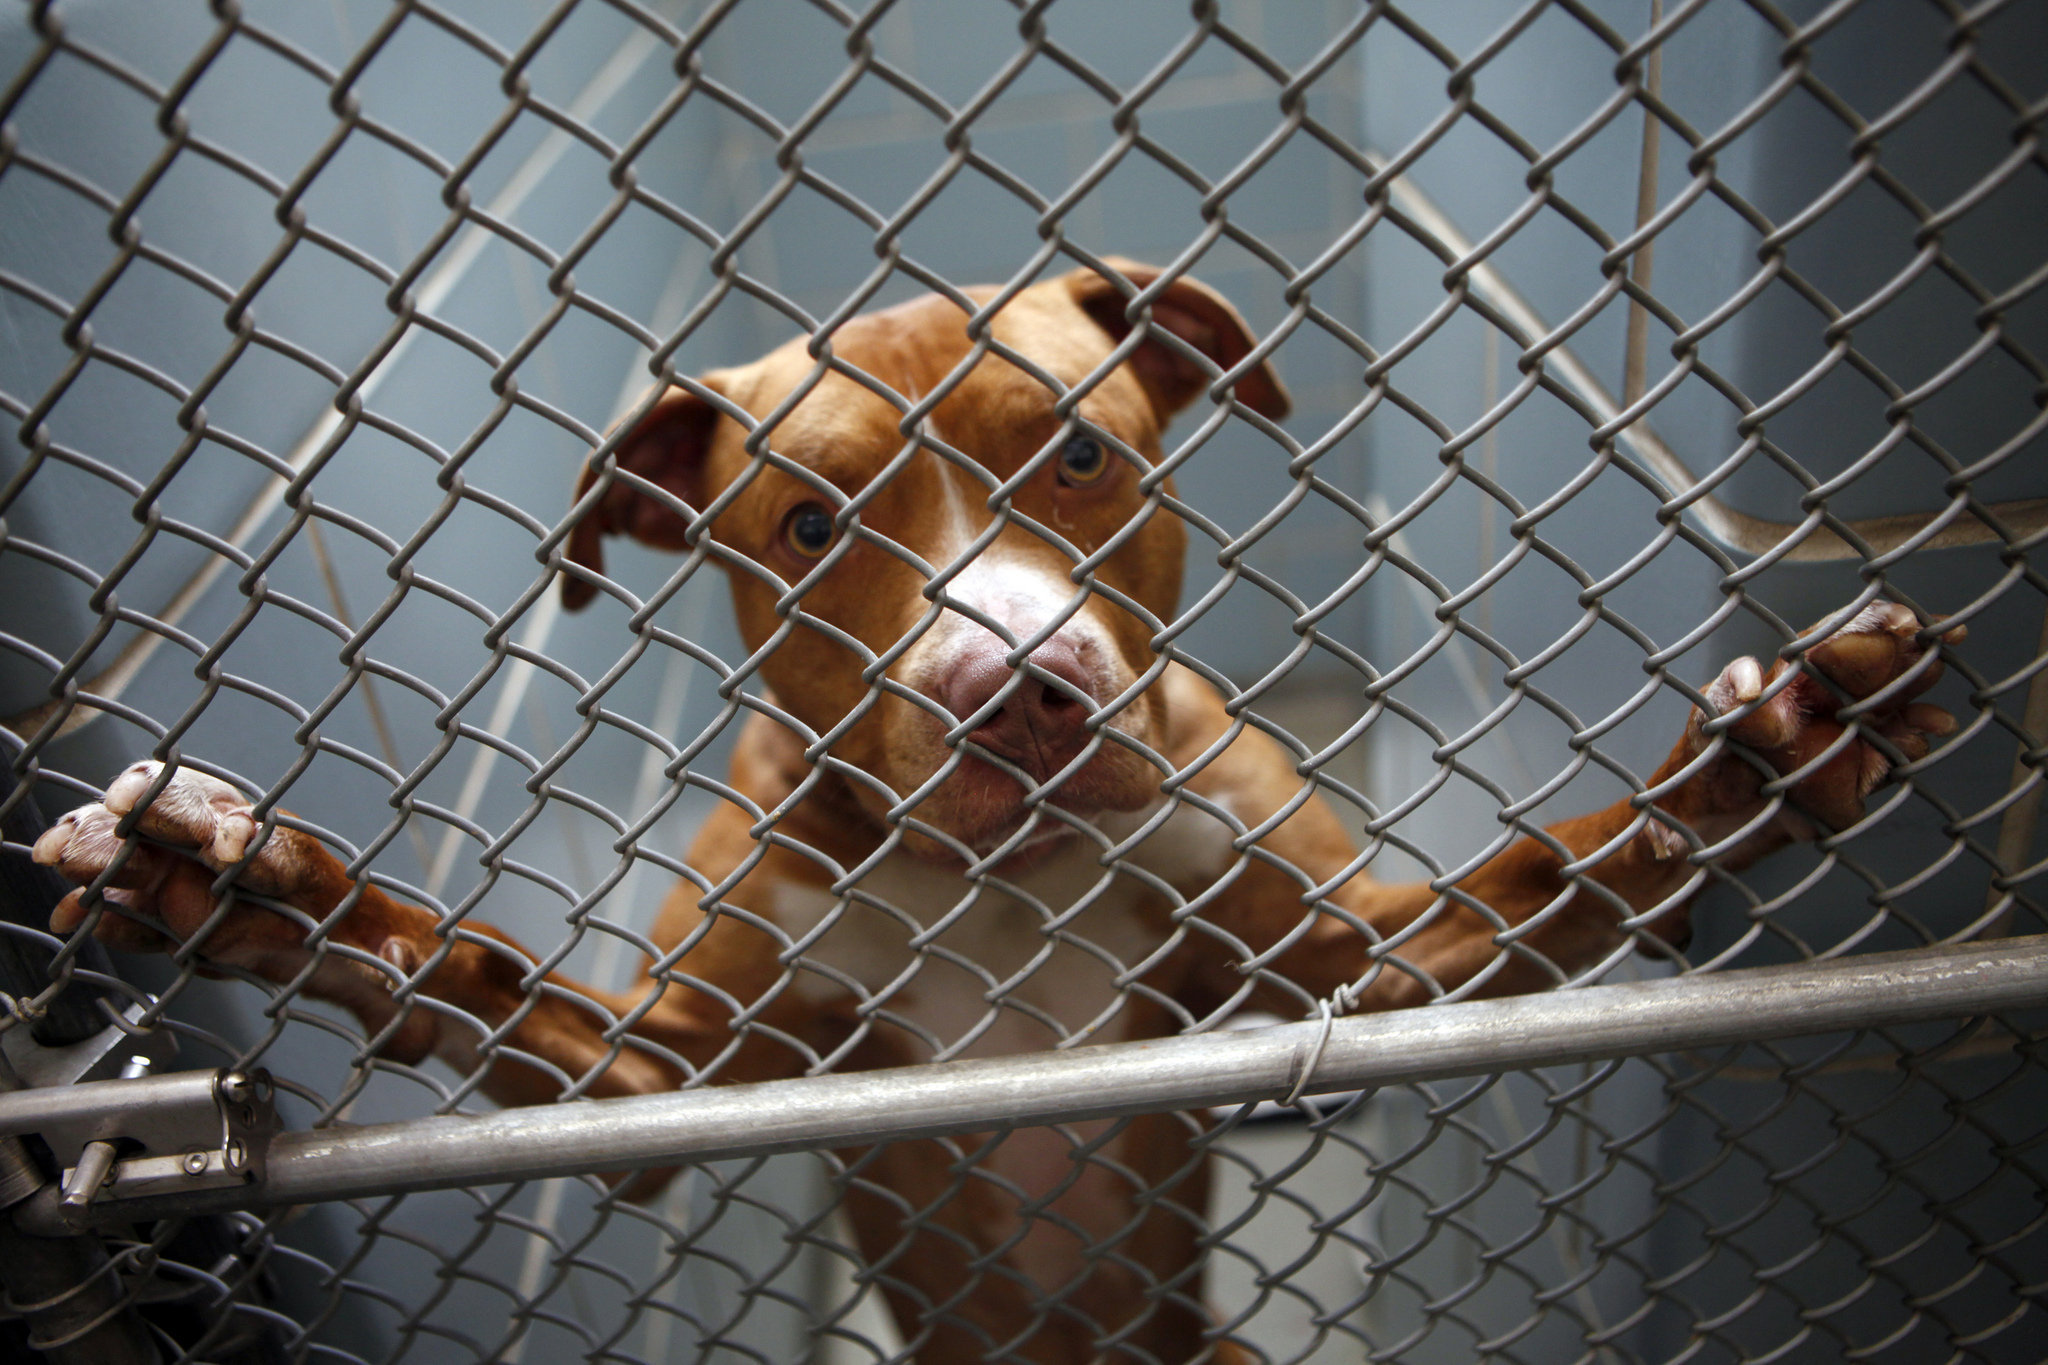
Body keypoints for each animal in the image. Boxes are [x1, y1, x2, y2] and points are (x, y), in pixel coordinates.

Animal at [28, 258, 1949, 1365]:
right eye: (809, 528)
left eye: (1081, 451)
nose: (1015, 686)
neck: (998, 870)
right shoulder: (657, 1079)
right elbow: (465, 972)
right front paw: (248, 887)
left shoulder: (1361, 965)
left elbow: (1555, 869)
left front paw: (1751, 765)